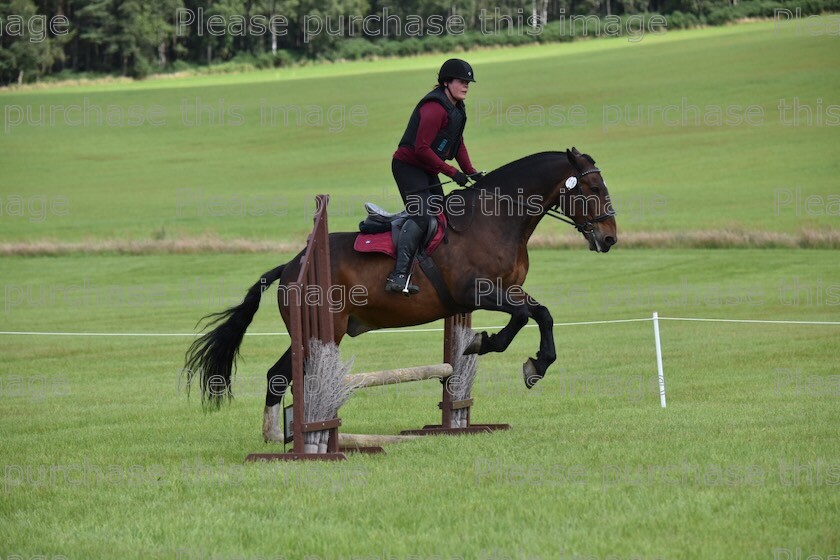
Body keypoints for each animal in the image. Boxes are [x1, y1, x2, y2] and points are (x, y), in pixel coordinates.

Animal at [185, 148, 616, 442]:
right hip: (320, 331)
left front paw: (519, 357)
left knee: (277, 375)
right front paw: (495, 348)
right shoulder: (476, 291)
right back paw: (290, 437)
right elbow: (531, 315)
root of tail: (291, 267)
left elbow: (539, 313)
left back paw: (278, 436)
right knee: (285, 375)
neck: (497, 218)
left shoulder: (507, 289)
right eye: (594, 187)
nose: (610, 238)